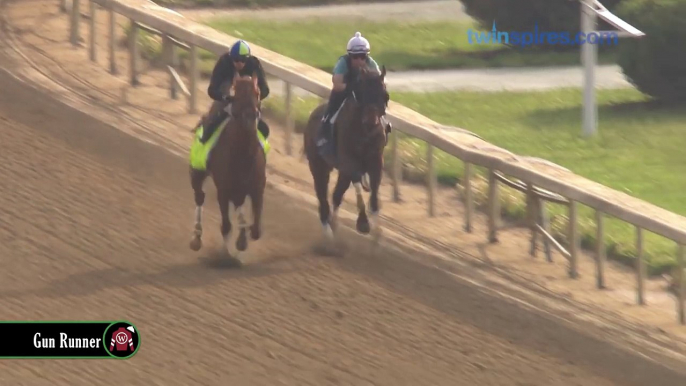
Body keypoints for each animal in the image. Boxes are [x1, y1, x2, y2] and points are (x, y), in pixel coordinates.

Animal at [189, 74, 268, 258]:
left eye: (257, 93)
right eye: (236, 94)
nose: (250, 117)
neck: (243, 155)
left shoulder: (257, 189)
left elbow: (256, 230)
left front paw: (243, 239)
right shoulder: (223, 191)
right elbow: (226, 226)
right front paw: (230, 250)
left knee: (238, 204)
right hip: (197, 173)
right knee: (199, 196)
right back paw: (196, 237)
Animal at [304, 66, 390, 241]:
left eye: (385, 95)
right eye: (362, 92)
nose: (371, 121)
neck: (364, 132)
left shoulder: (376, 161)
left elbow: (375, 191)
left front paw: (377, 232)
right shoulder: (348, 161)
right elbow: (358, 185)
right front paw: (363, 223)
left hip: (340, 172)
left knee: (336, 195)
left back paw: (334, 225)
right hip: (318, 165)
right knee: (322, 195)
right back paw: (328, 233)